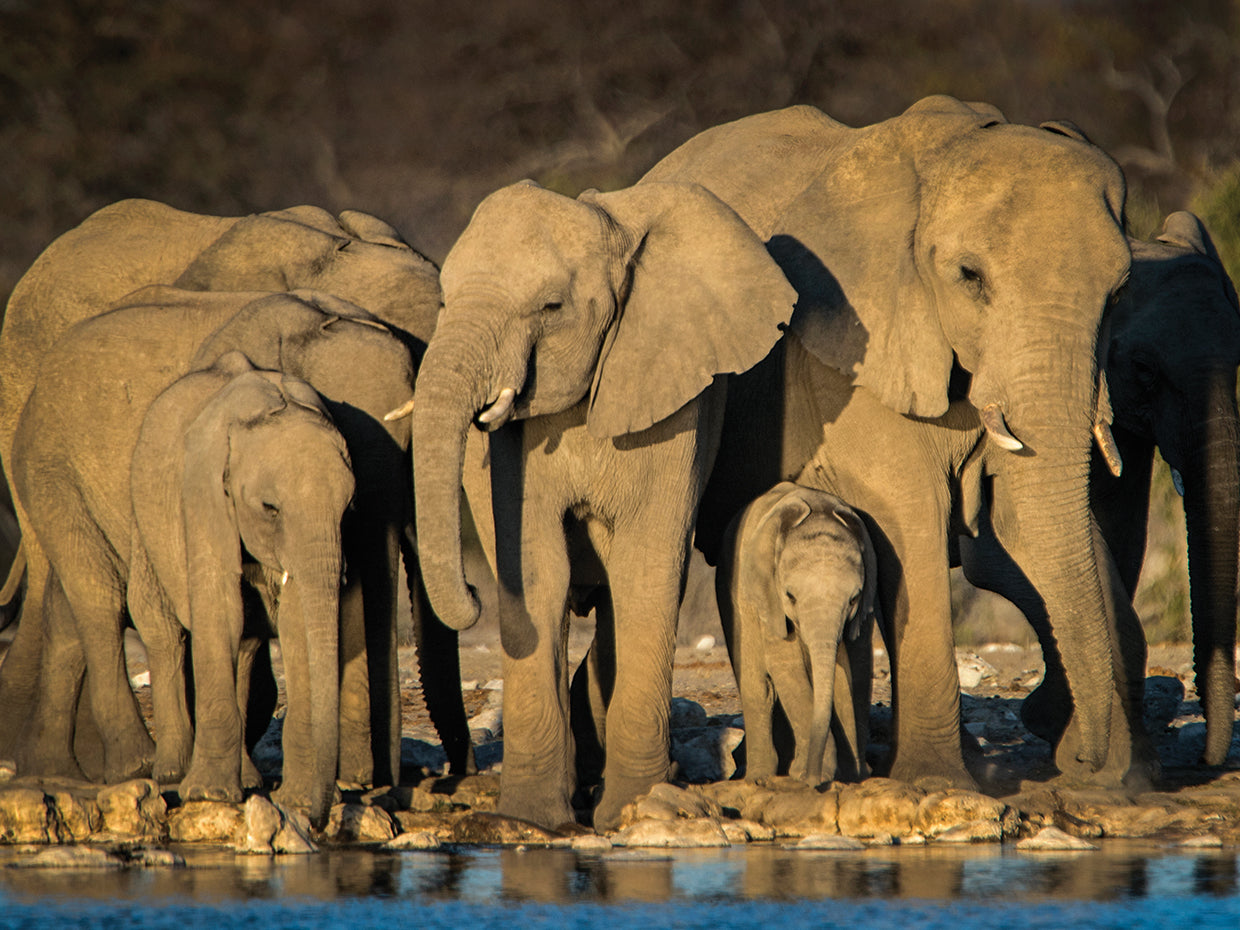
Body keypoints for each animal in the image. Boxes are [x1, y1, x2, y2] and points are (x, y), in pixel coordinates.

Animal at [409, 179, 797, 829]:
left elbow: (645, 569)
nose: (470, 595)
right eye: (442, 299)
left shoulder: (674, 406)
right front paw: (533, 819)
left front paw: (632, 811)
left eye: (551, 308)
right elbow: (537, 569)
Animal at [715, 481, 878, 785]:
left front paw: (850, 776)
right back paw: (759, 776)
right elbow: (786, 666)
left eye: (853, 599)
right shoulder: (768, 598)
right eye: (790, 596)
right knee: (759, 687)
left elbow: (843, 673)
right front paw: (811, 775)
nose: (814, 782)